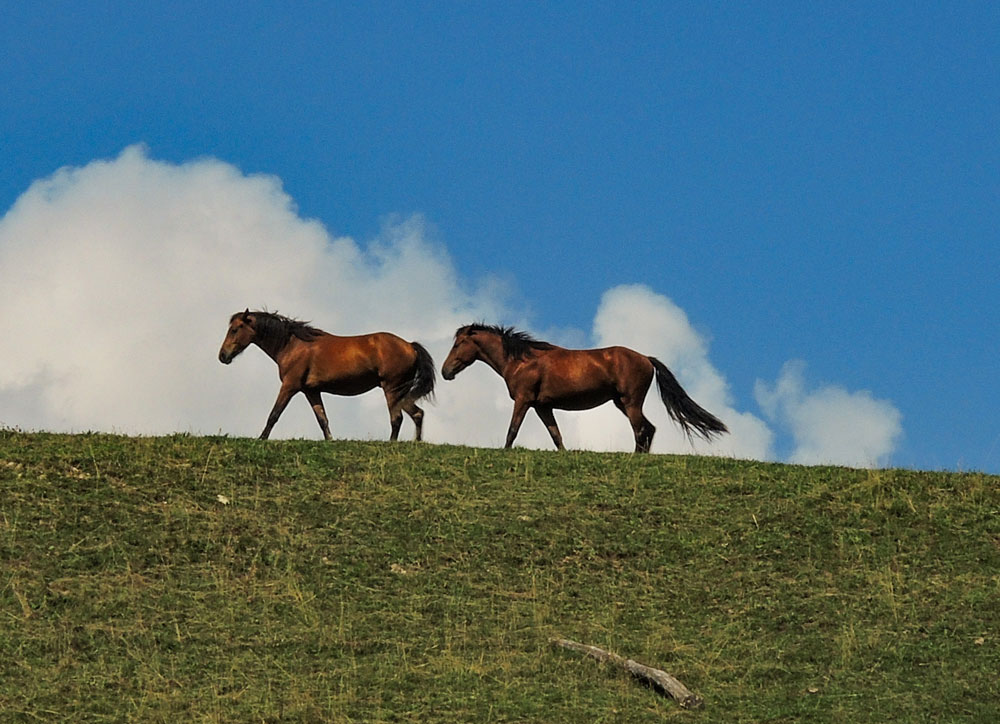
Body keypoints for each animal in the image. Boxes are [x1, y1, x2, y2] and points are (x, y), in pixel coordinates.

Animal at [217, 310, 436, 442]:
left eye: (234, 329)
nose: (222, 356)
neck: (292, 345)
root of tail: (410, 346)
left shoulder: (289, 386)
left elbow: (274, 414)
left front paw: (262, 439)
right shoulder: (311, 391)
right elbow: (322, 419)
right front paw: (330, 440)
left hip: (392, 390)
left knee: (397, 418)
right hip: (401, 392)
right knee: (417, 414)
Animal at [440, 324, 728, 452]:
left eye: (458, 344)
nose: (445, 371)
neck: (522, 360)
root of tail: (646, 358)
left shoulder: (523, 400)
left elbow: (512, 430)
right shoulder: (542, 406)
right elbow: (556, 436)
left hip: (630, 402)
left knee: (641, 430)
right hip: (622, 403)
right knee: (649, 429)